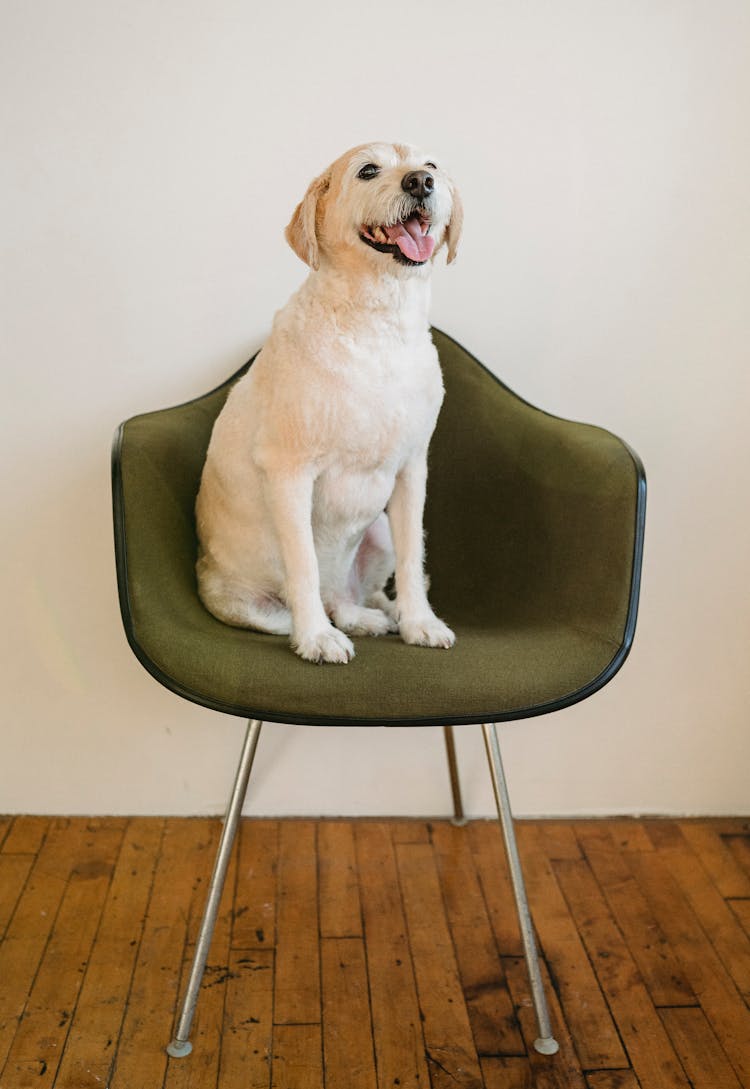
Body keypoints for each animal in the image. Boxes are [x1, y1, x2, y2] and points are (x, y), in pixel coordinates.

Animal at [192, 140, 461, 657]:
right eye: (368, 170)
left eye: (431, 165)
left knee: (358, 591)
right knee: (313, 597)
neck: (378, 325)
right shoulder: (290, 473)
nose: (420, 182)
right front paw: (316, 637)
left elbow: (414, 560)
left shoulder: (412, 470)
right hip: (244, 603)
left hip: (380, 532)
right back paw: (335, 623)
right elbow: (304, 566)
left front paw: (420, 622)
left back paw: (374, 615)